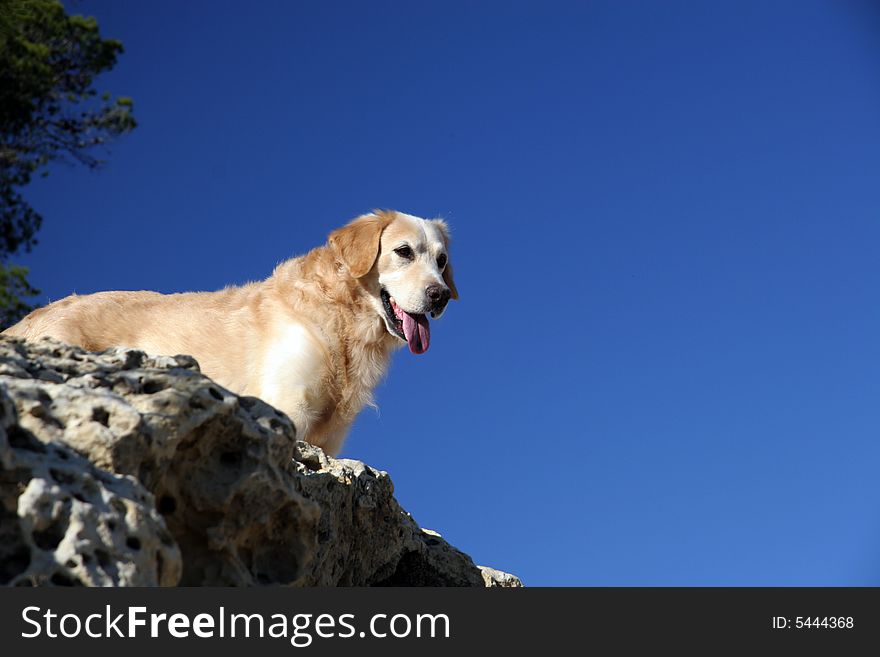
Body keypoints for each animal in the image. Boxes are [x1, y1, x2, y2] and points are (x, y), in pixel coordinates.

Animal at [5, 211, 460, 456]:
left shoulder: (330, 440)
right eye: (403, 252)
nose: (439, 296)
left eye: (441, 261)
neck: (340, 318)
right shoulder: (286, 409)